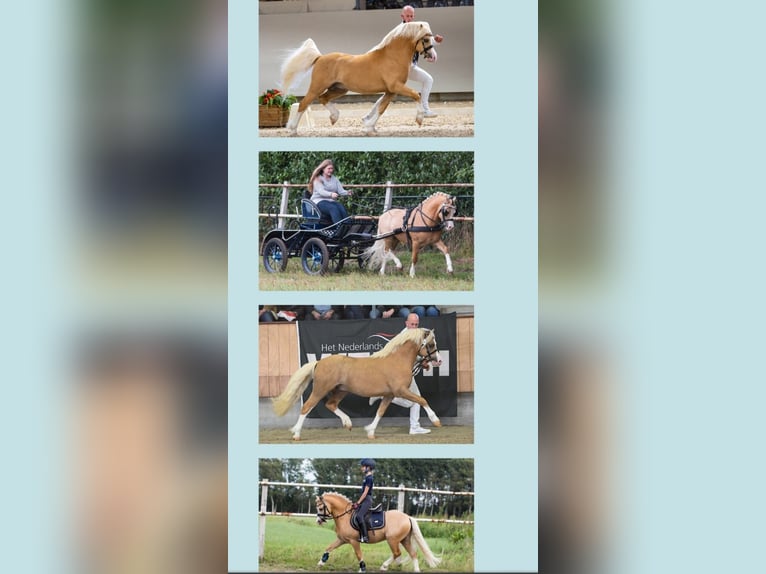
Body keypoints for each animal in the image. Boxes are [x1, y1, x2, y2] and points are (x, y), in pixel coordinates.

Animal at [272, 328, 442, 440]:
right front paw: (436, 420)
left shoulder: (389, 395)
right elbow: (422, 400)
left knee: (330, 405)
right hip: (320, 389)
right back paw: (296, 434)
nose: (439, 361)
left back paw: (348, 423)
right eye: (431, 344)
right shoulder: (400, 391)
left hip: (341, 391)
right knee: (307, 407)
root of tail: (318, 362)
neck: (397, 360)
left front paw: (371, 432)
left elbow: (380, 412)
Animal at [279, 21, 436, 136]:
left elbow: (381, 108)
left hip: (339, 89)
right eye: (426, 39)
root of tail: (320, 57)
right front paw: (420, 119)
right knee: (303, 104)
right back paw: (292, 129)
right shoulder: (395, 86)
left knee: (323, 98)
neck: (392, 57)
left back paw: (334, 117)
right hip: (317, 87)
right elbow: (416, 95)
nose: (433, 56)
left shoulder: (391, 91)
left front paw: (369, 127)